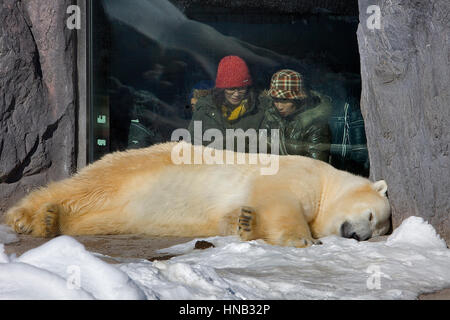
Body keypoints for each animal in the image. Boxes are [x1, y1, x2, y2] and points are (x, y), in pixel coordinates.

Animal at [4, 141, 390, 249]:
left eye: (378, 231)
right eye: (373, 217)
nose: (357, 235)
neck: (328, 182)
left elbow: (233, 218)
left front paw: (245, 223)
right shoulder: (298, 174)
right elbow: (280, 200)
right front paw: (303, 239)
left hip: (123, 211)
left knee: (96, 218)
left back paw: (52, 221)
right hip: (130, 171)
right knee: (83, 188)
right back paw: (24, 216)